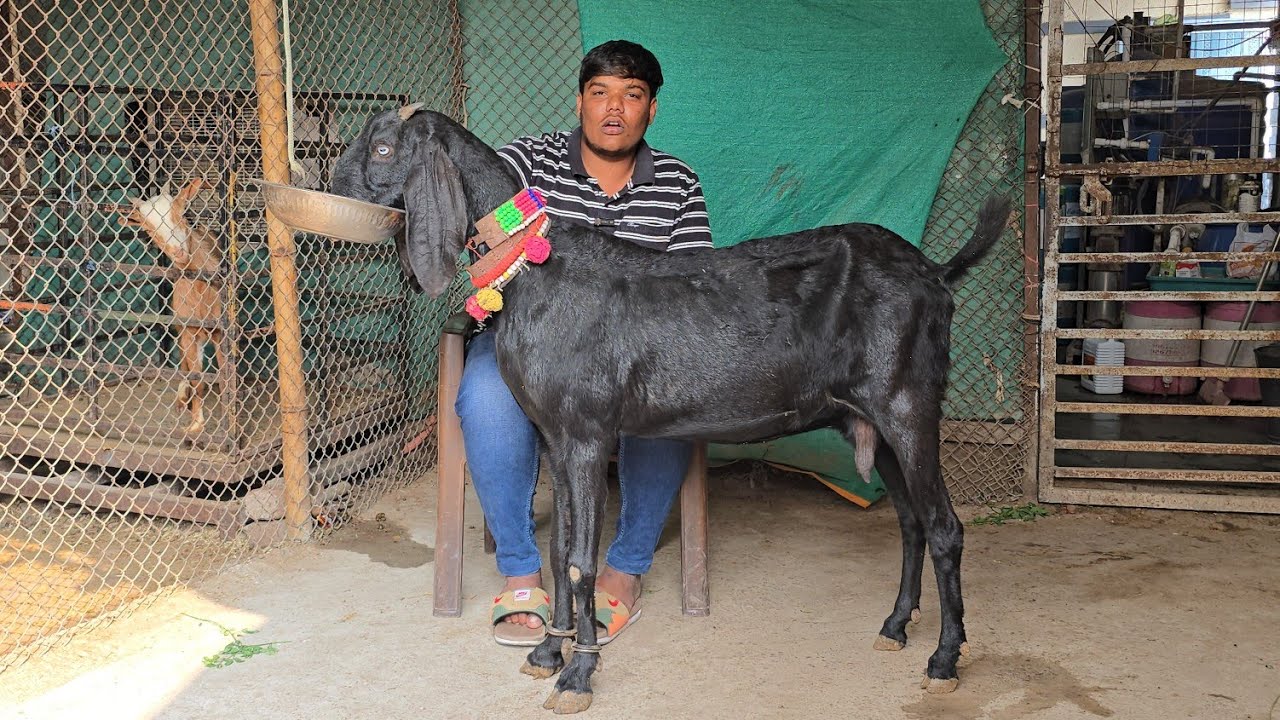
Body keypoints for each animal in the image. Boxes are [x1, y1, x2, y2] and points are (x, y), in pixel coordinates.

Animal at [119, 178, 226, 435]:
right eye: (147, 227)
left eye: (180, 211)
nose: (179, 253)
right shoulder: (187, 331)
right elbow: (196, 377)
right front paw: (196, 424)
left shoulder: (221, 331)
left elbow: (225, 375)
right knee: (187, 366)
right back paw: (182, 399)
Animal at [332, 104, 1011, 714]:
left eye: (384, 149)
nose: (334, 191)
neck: (534, 266)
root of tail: (935, 272)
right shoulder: (552, 435)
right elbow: (559, 547)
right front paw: (548, 653)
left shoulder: (587, 432)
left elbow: (580, 562)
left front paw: (578, 674)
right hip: (871, 421)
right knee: (911, 522)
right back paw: (895, 627)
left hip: (909, 406)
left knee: (945, 527)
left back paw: (944, 659)